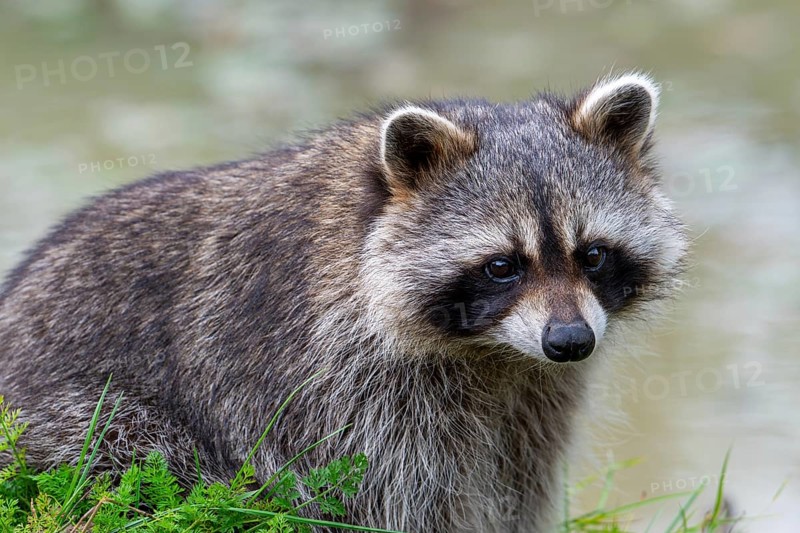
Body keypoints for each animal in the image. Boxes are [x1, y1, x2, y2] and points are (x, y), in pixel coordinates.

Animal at [0, 73, 686, 532]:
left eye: (592, 254)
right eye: (502, 266)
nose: (570, 342)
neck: (490, 351)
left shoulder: (534, 393)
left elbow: (518, 480)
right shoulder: (329, 378)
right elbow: (379, 493)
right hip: (69, 419)